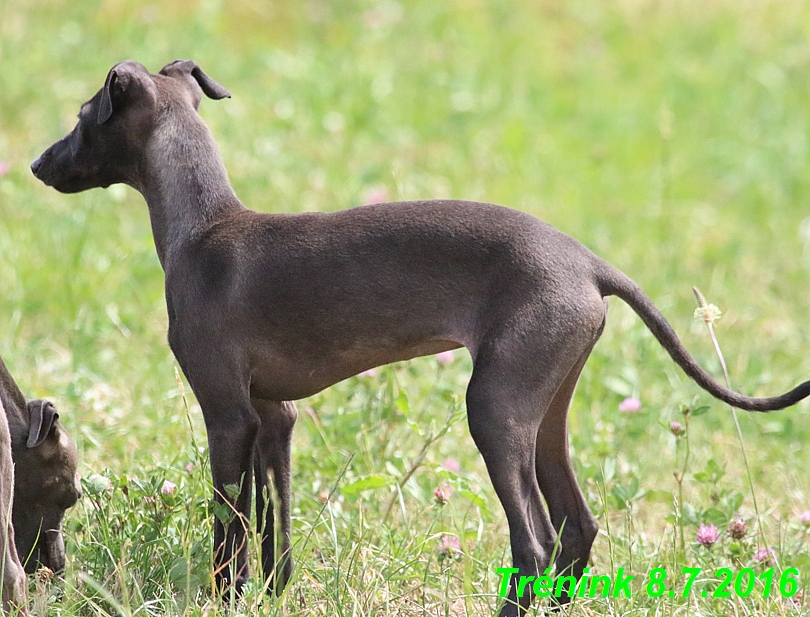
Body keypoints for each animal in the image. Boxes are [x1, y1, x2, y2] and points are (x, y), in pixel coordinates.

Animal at [31, 59, 808, 616]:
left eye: (81, 117)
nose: (36, 165)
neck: (204, 227)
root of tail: (588, 262)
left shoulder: (227, 415)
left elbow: (229, 529)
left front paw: (225, 599)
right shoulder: (274, 417)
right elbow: (273, 526)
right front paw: (274, 595)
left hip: (494, 410)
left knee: (534, 542)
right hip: (544, 406)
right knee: (577, 528)